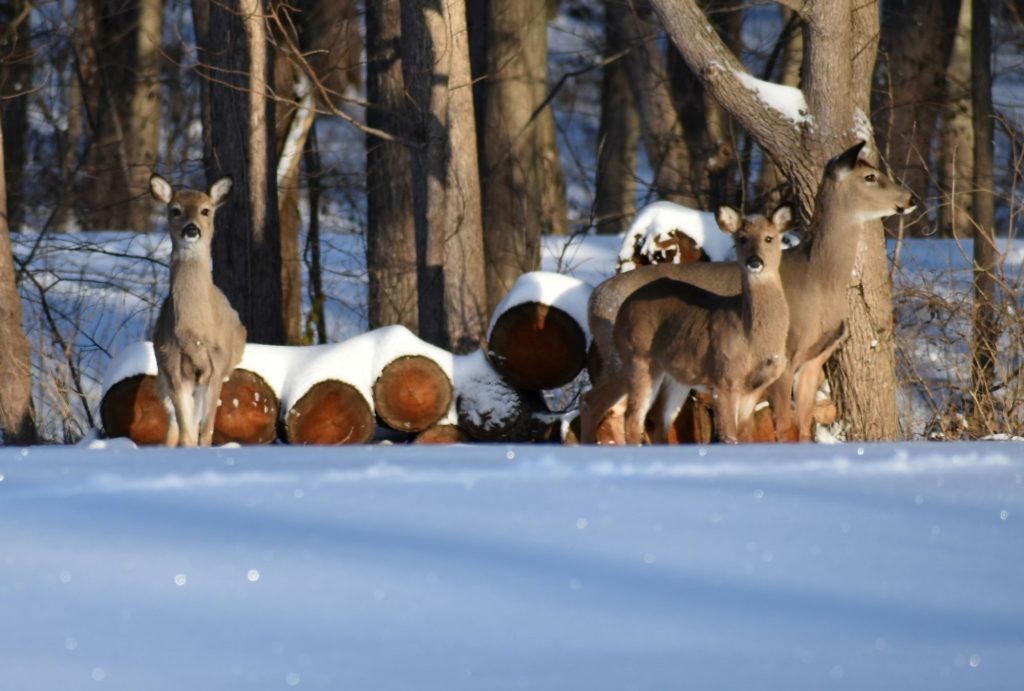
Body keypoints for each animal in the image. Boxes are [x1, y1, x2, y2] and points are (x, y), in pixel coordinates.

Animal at [149, 174, 247, 448]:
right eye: (175, 210)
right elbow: (187, 434)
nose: (191, 229)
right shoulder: (172, 367)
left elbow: (206, 431)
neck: (195, 335)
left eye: (206, 210)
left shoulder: (217, 366)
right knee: (174, 427)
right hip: (163, 375)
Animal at [581, 141, 918, 443]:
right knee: (597, 405)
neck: (817, 281)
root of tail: (593, 298)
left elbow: (804, 428)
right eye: (870, 176)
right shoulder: (785, 356)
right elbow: (786, 428)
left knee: (650, 418)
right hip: (623, 359)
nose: (911, 197)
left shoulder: (815, 359)